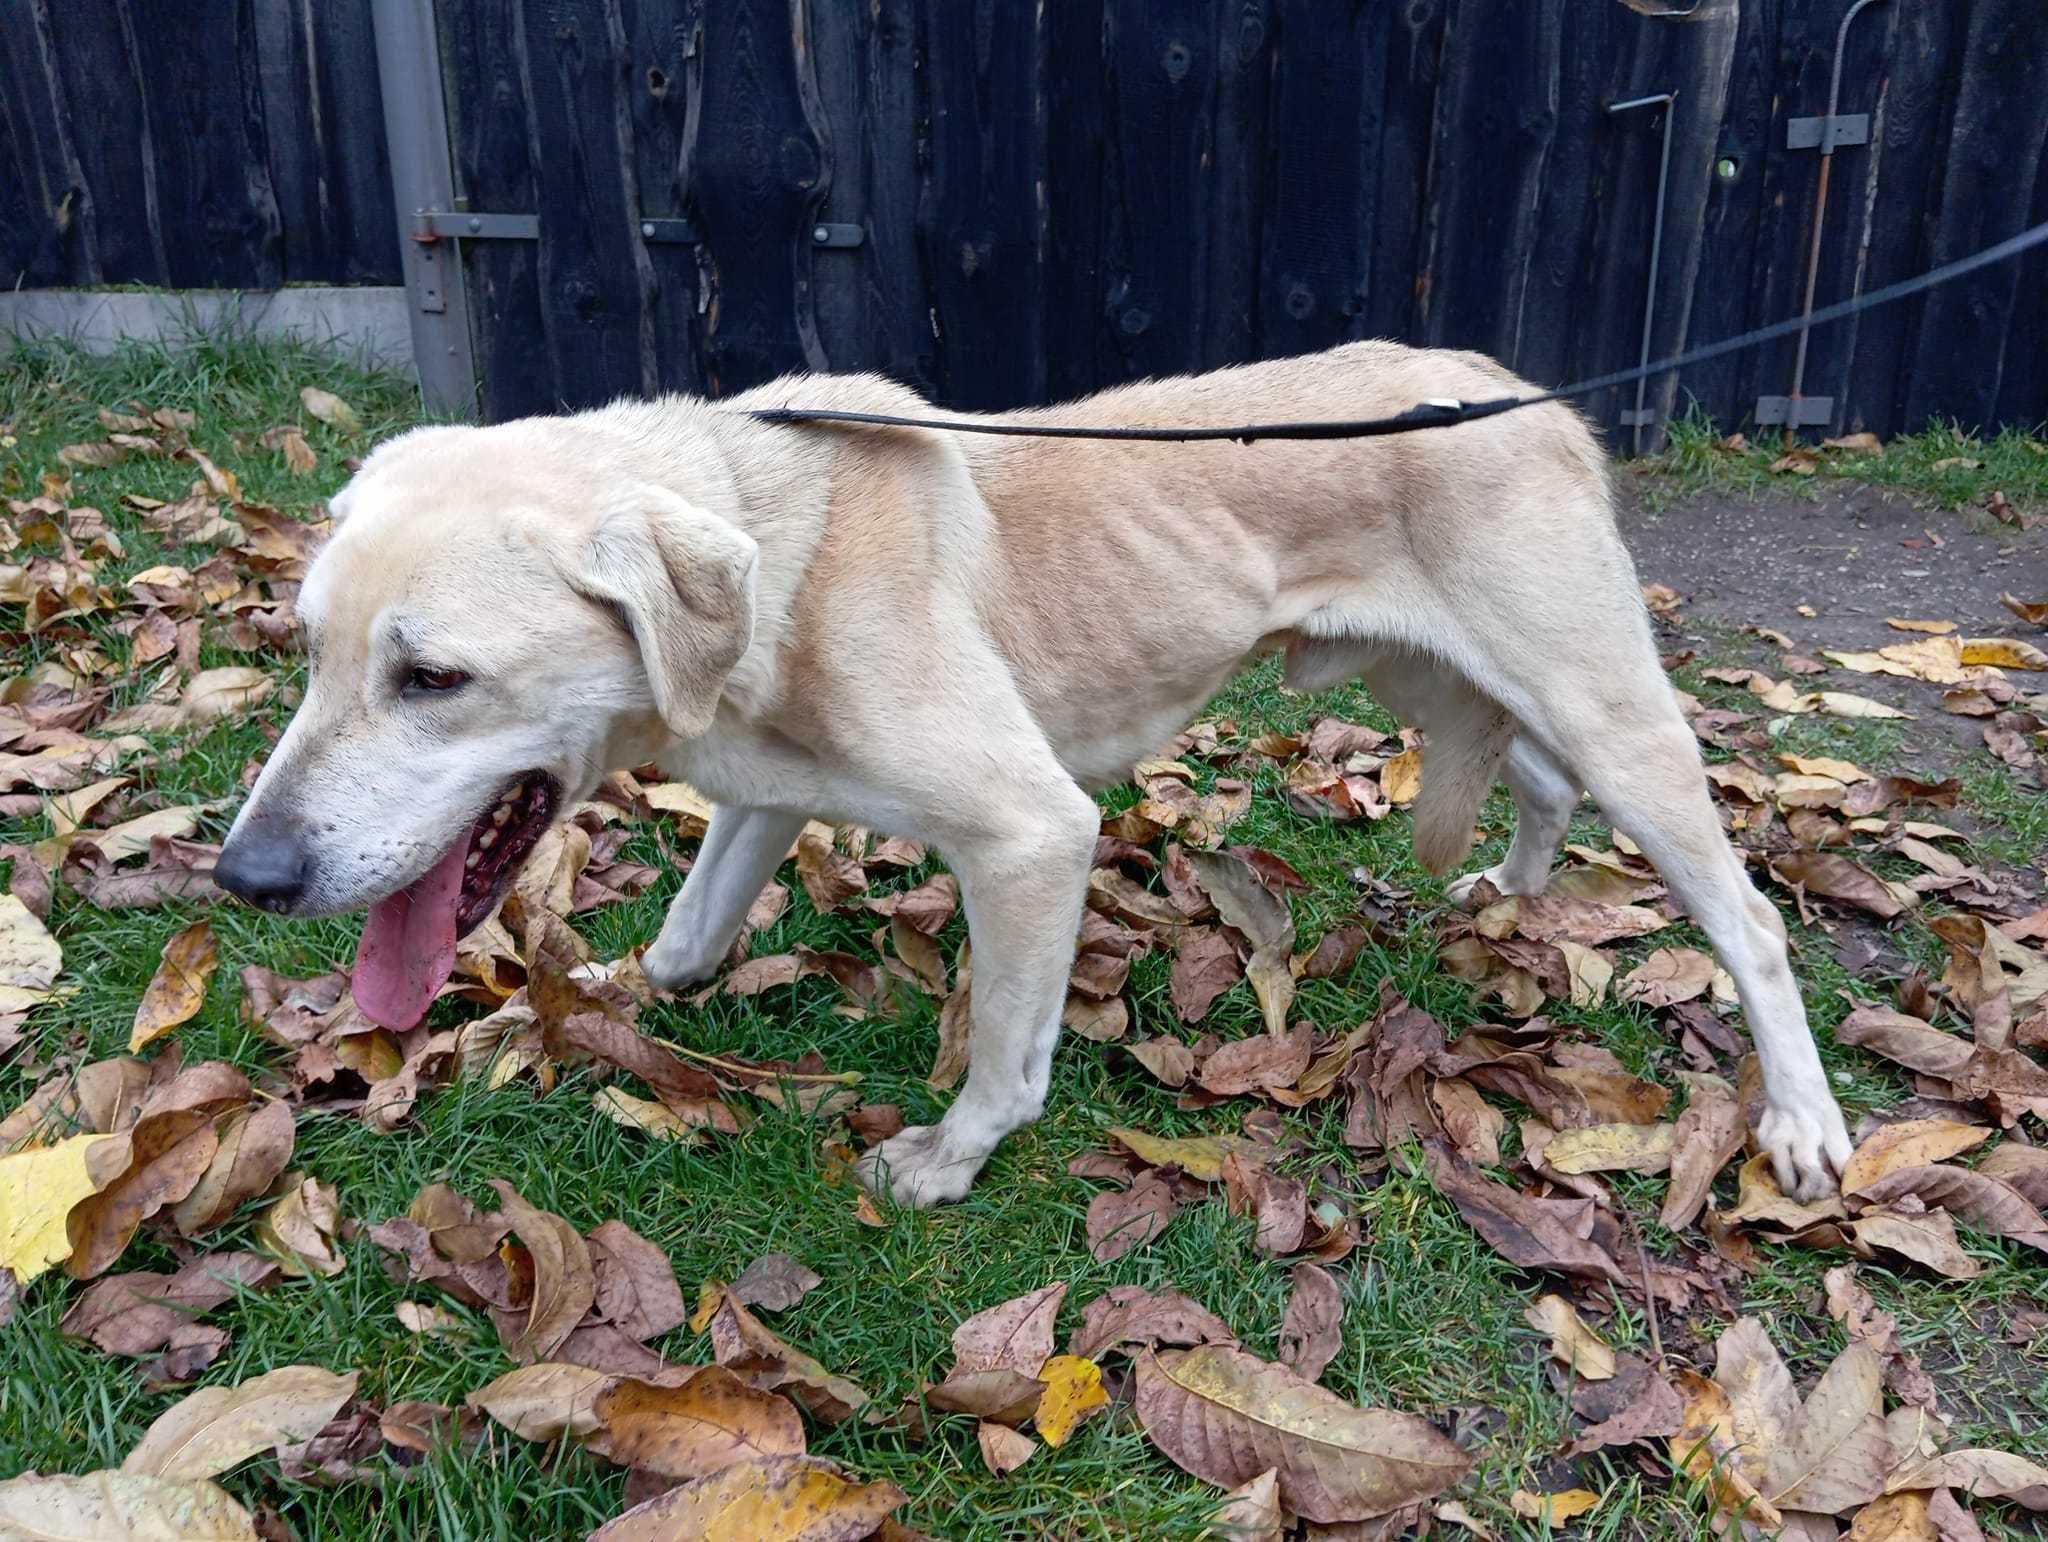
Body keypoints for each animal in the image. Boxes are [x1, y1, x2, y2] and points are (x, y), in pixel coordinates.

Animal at [216, 341, 1867, 1212]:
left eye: (434, 680)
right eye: (305, 651)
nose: (244, 877)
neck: (779, 566)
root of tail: (1531, 394)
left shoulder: (1030, 836)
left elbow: (1009, 1058)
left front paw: (948, 1157)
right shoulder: (766, 790)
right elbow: (688, 938)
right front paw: (610, 993)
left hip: (1611, 715)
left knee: (1749, 923)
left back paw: (1802, 1119)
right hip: (1431, 679)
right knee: (1532, 773)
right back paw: (1510, 891)